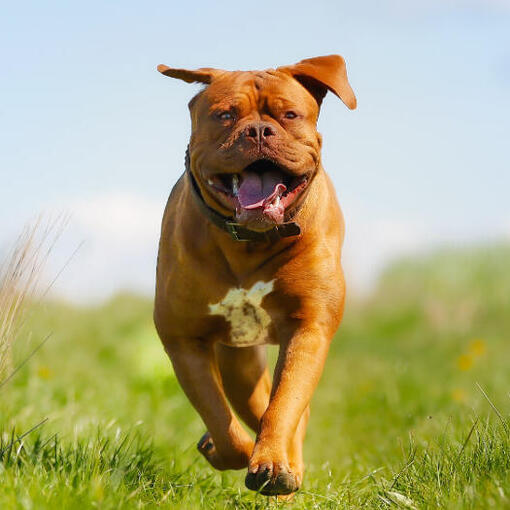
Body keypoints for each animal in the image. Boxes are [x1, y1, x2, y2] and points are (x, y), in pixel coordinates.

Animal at [153, 54, 356, 494]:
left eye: (289, 114)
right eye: (225, 115)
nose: (259, 130)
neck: (251, 240)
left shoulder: (309, 327)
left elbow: (285, 404)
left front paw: (275, 463)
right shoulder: (184, 340)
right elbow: (219, 418)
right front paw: (235, 451)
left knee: (287, 410)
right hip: (238, 364)